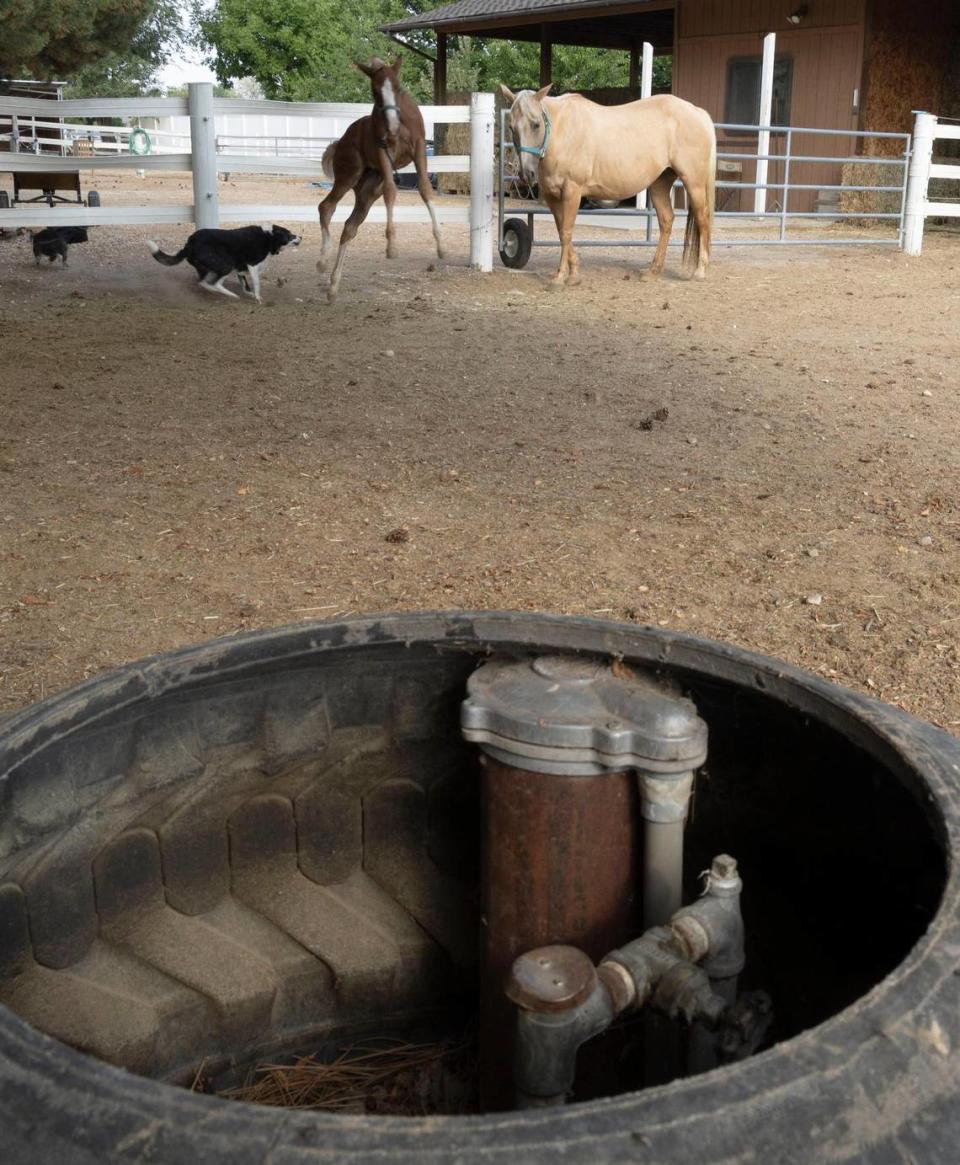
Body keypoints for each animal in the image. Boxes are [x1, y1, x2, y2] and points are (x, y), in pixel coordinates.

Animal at [147, 223, 300, 305]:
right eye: (290, 235)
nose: (301, 237)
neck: (269, 237)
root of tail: (189, 244)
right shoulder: (252, 265)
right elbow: (256, 283)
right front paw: (257, 298)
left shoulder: (241, 268)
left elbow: (245, 286)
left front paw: (251, 295)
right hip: (226, 265)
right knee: (213, 283)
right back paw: (230, 295)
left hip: (208, 267)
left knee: (203, 282)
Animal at [319, 57, 447, 305]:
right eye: (375, 91)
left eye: (397, 87)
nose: (393, 127)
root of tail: (340, 142)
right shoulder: (383, 150)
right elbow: (392, 190)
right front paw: (392, 246)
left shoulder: (419, 148)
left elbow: (425, 189)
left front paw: (441, 246)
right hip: (349, 176)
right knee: (326, 207)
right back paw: (322, 262)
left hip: (368, 191)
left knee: (349, 227)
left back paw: (333, 286)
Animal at [503, 85, 713, 284]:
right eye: (511, 128)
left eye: (536, 124)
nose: (526, 174)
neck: (562, 132)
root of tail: (698, 112)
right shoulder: (552, 196)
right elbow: (561, 231)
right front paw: (574, 273)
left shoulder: (572, 191)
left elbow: (566, 231)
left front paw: (561, 276)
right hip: (659, 184)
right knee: (666, 221)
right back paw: (653, 271)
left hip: (693, 183)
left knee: (703, 220)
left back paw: (700, 271)